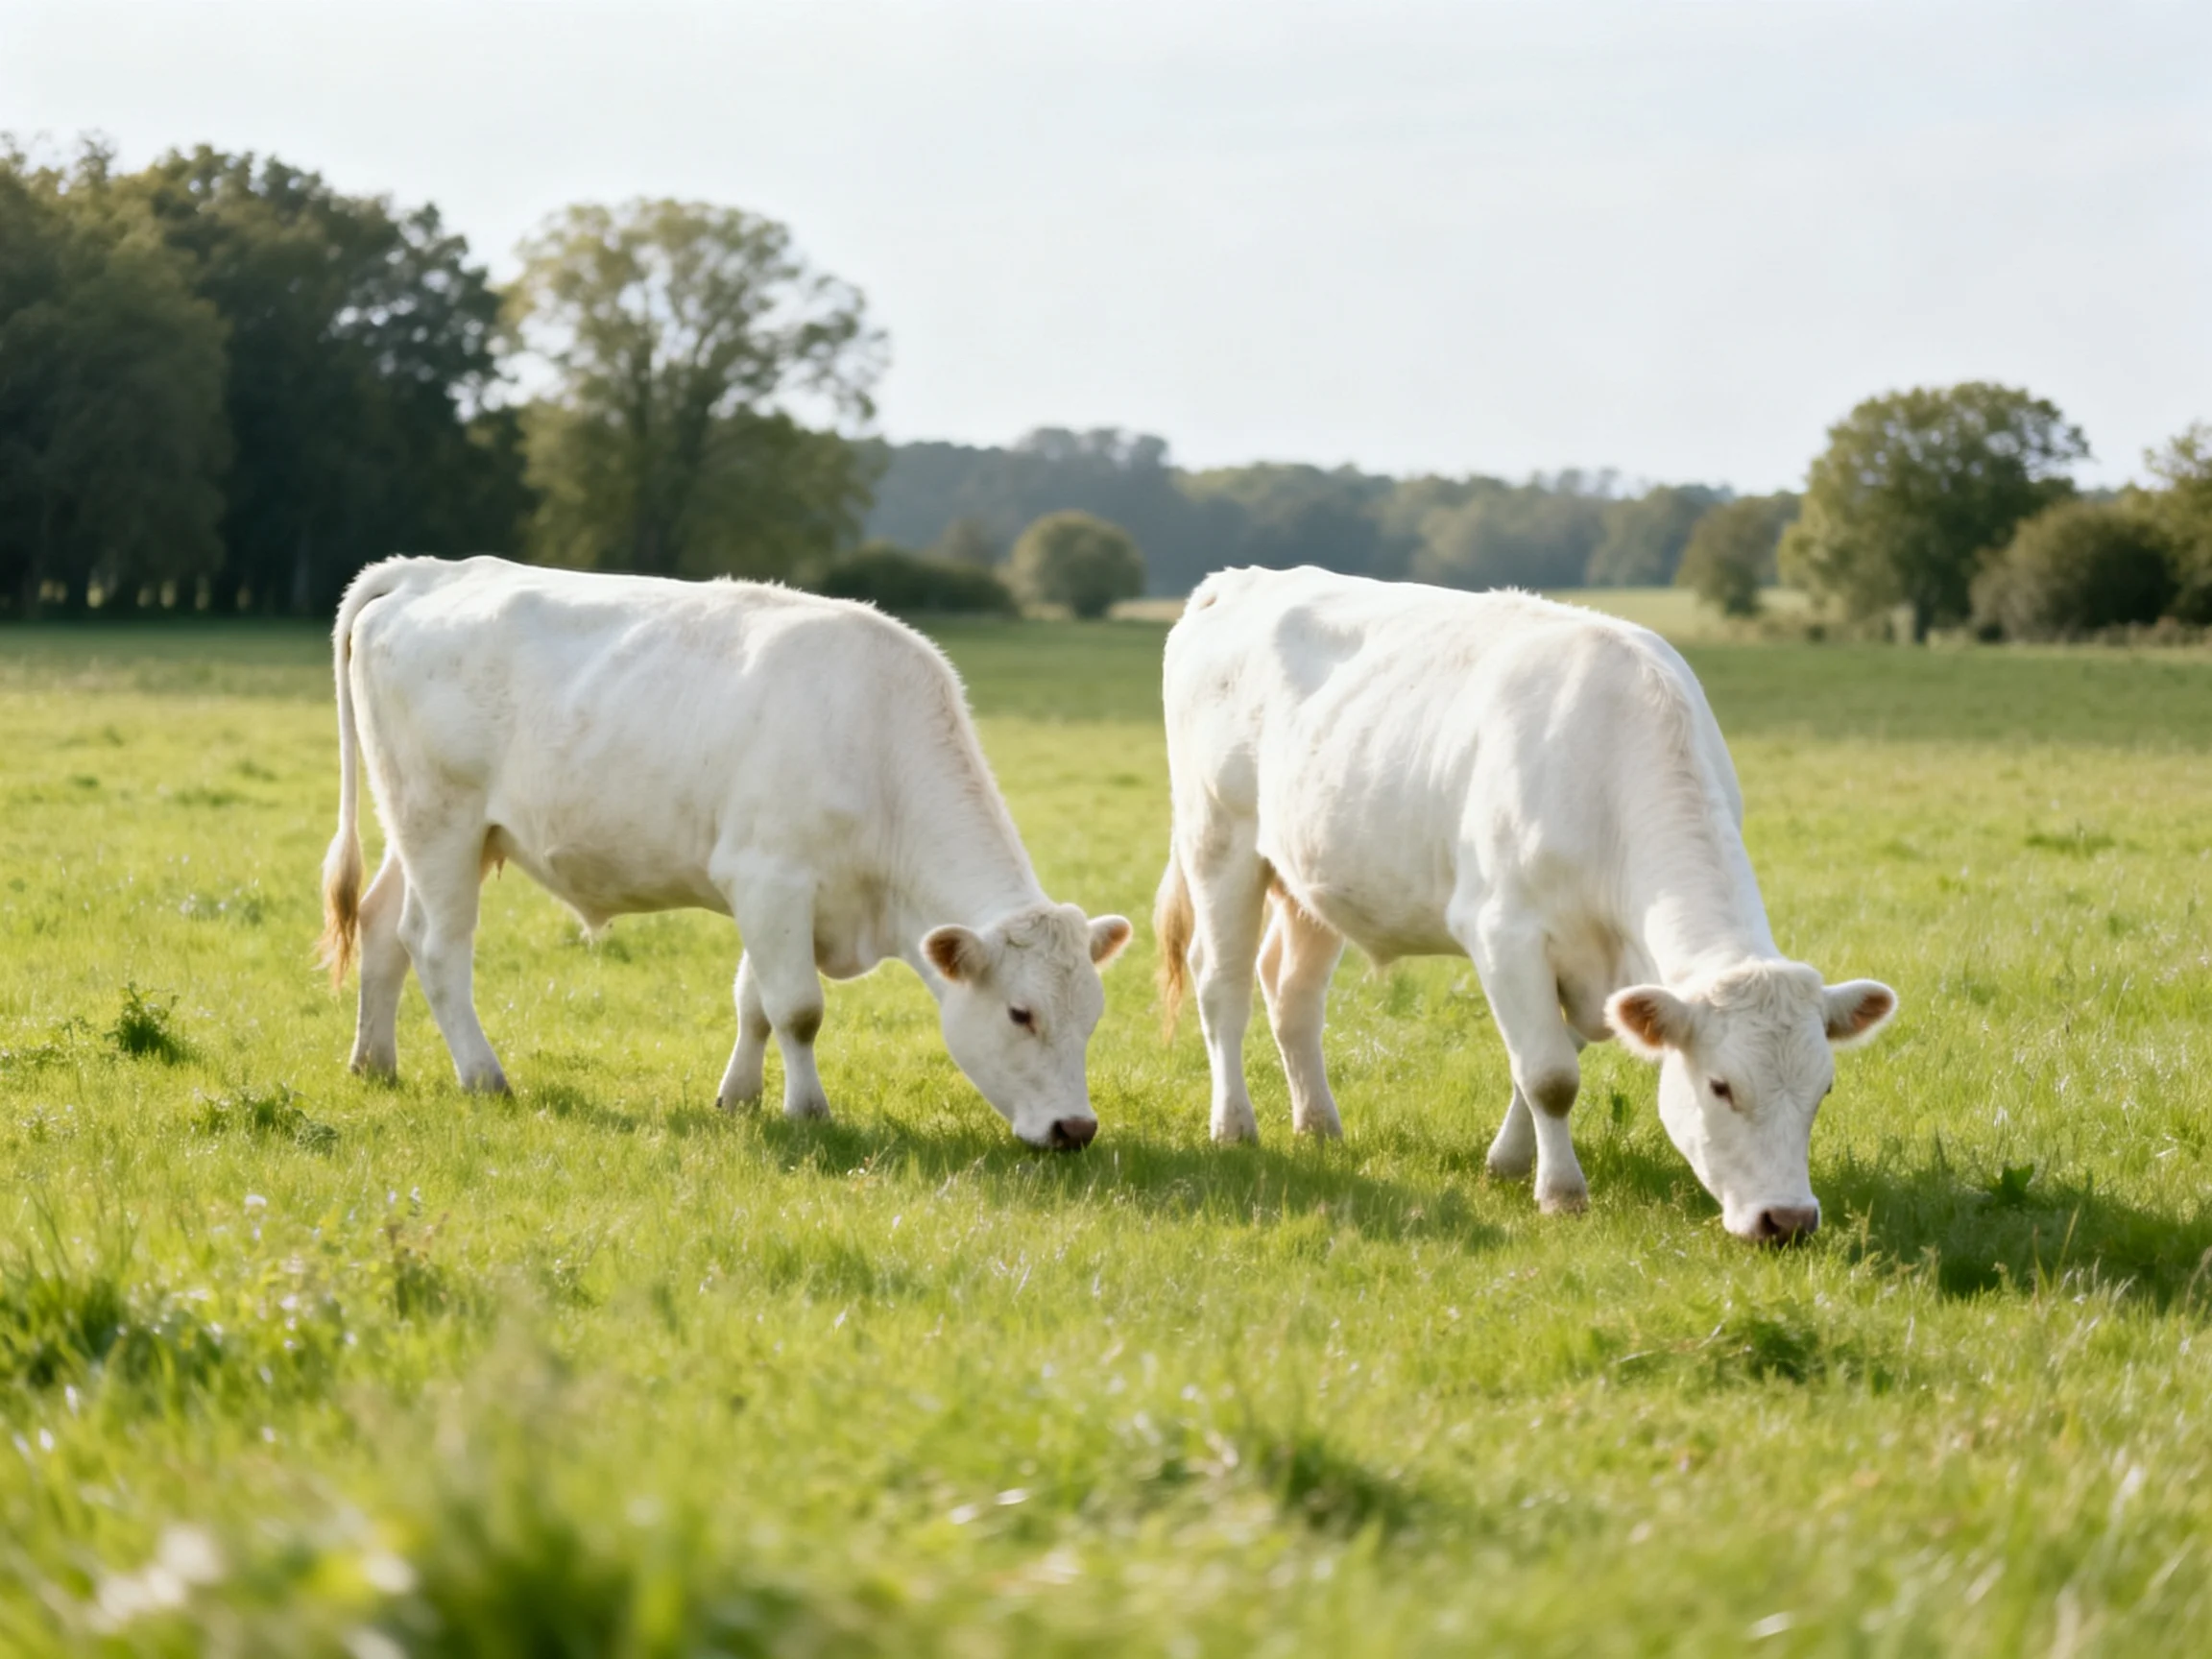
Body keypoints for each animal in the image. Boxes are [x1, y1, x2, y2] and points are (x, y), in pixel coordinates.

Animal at [317, 555, 1132, 1149]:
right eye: (1021, 1014)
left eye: (1093, 1017)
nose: (1075, 1129)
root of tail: (427, 571)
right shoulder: (771, 877)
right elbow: (798, 1010)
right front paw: (808, 1112)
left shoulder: (764, 889)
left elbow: (755, 1003)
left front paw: (738, 1099)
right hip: (441, 820)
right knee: (437, 947)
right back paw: (484, 1077)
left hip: (423, 825)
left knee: (384, 927)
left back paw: (373, 1063)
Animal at [1153, 566, 1896, 1241]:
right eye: (1720, 1086)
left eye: (1824, 1089)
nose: (1788, 1220)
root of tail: (1235, 581)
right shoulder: (1503, 933)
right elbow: (1550, 1076)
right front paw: (1561, 1192)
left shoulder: (1595, 974)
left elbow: (1540, 1060)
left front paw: (1508, 1163)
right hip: (1218, 839)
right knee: (1222, 984)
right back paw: (1235, 1125)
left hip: (1313, 875)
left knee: (1292, 992)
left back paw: (1320, 1125)